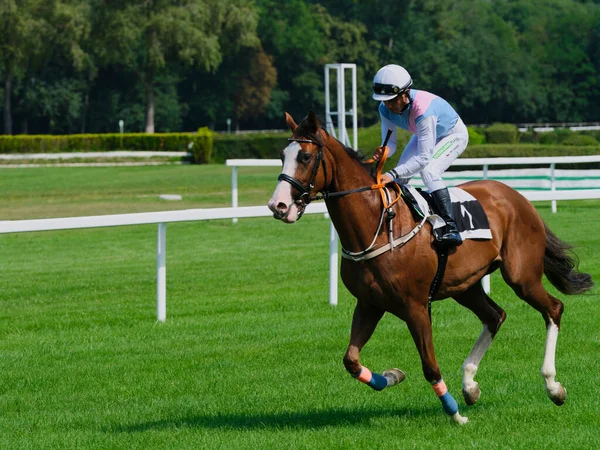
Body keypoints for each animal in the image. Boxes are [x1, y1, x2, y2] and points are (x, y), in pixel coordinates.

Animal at [268, 110, 596, 424]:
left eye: (305, 157)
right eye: (282, 155)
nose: (278, 206)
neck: (377, 225)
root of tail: (518, 197)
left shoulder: (415, 306)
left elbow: (430, 366)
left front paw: (454, 415)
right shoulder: (369, 304)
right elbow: (350, 360)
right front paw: (391, 376)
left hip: (522, 277)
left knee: (553, 309)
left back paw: (552, 386)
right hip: (464, 285)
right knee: (495, 316)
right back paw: (470, 384)